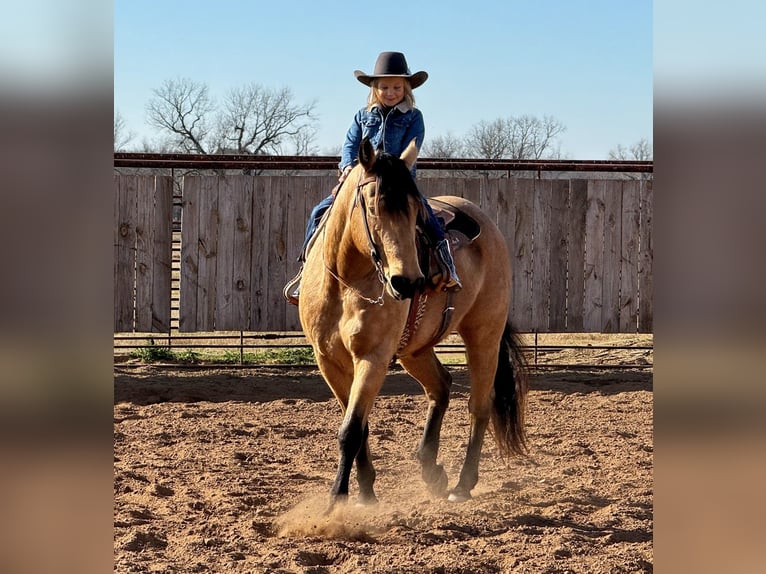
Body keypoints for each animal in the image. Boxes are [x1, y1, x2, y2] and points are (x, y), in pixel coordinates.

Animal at [298, 137, 528, 508]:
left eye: (415, 211)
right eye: (373, 206)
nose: (407, 282)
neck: (347, 283)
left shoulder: (373, 358)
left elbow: (351, 430)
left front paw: (337, 501)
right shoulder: (328, 361)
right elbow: (359, 426)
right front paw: (365, 492)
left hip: (484, 335)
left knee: (479, 406)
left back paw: (462, 484)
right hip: (414, 350)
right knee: (441, 386)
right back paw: (431, 470)